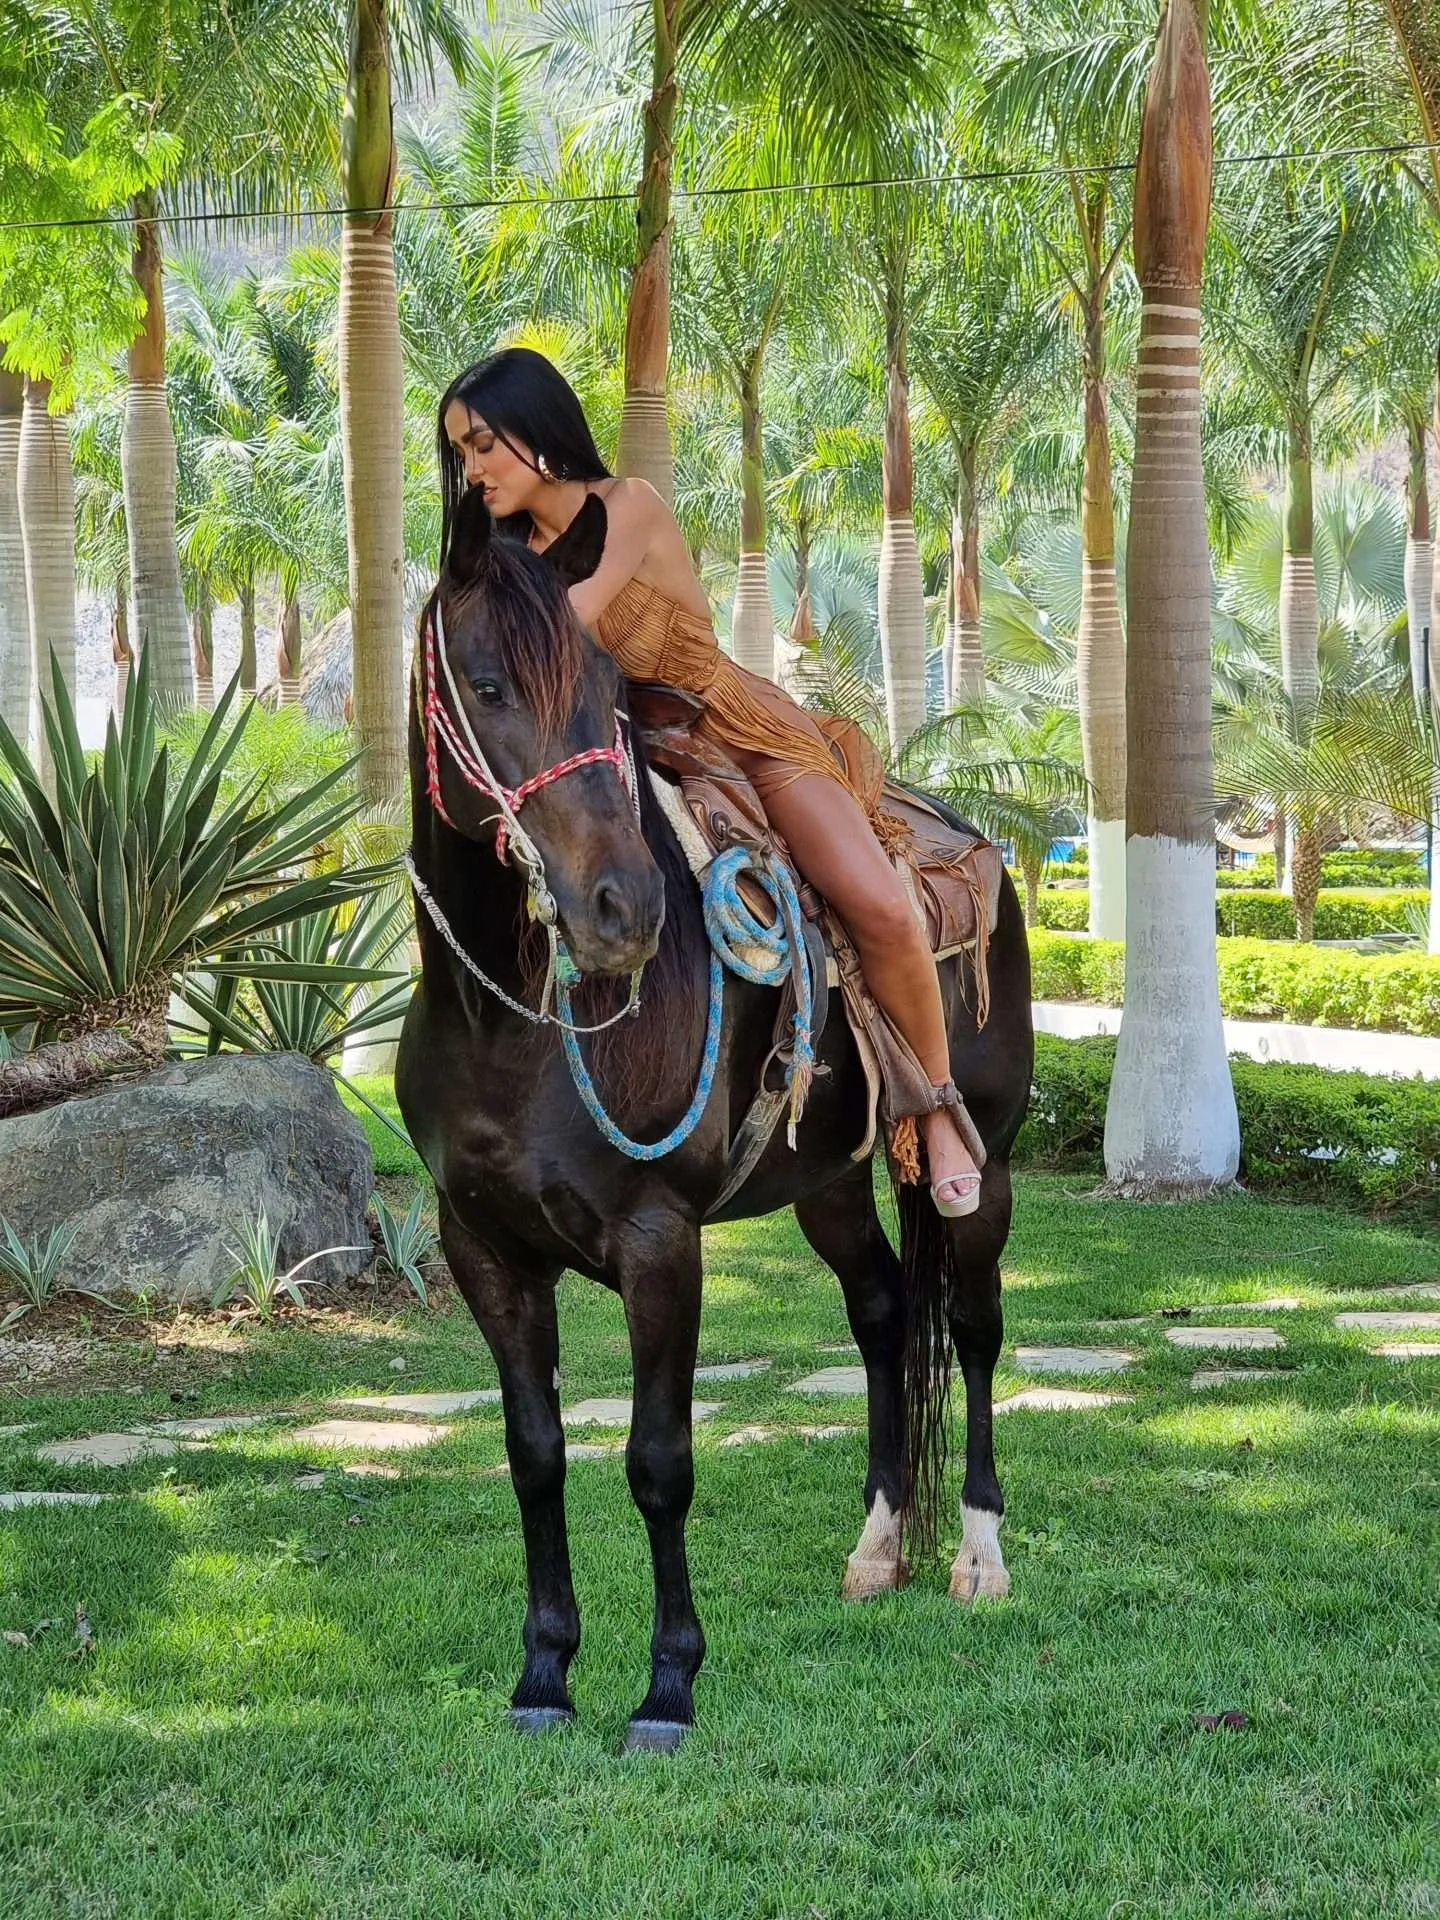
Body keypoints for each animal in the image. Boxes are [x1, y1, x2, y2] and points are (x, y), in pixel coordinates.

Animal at [395, 488, 1033, 1752]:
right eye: (485, 685)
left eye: (607, 695)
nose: (623, 910)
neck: (513, 1018)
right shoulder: (481, 1245)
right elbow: (534, 1454)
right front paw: (544, 1672)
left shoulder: (660, 1244)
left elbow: (658, 1461)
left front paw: (668, 1686)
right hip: (828, 1184)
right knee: (886, 1317)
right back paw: (879, 1545)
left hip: (980, 1172)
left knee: (974, 1329)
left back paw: (977, 1556)